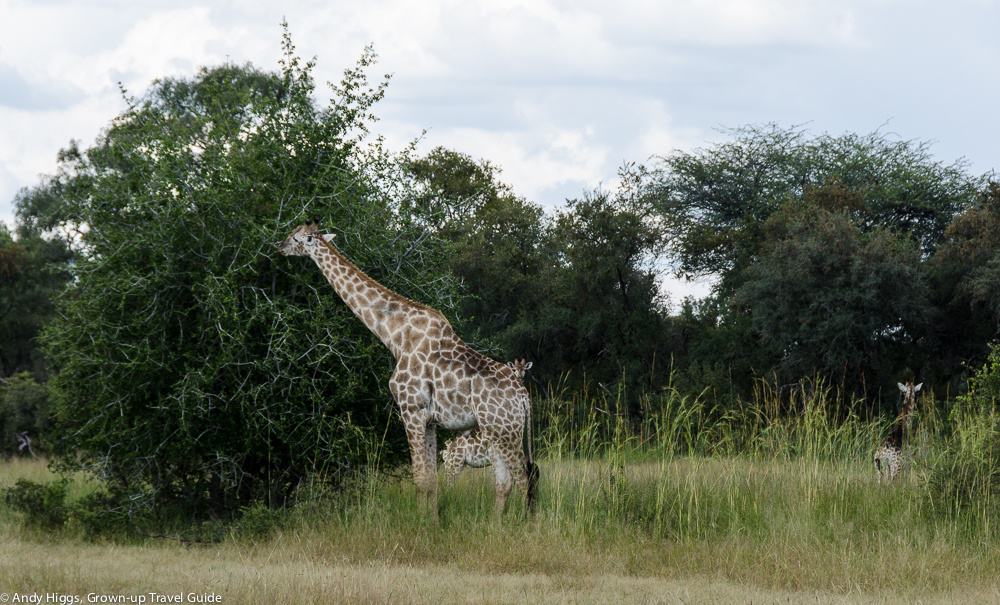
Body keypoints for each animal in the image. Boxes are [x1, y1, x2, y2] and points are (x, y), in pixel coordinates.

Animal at [278, 221, 538, 517]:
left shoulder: (410, 410)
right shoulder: (430, 420)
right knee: (505, 482)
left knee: (524, 477)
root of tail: (523, 396)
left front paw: (422, 524)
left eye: (295, 237)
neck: (396, 337)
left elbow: (420, 479)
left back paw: (526, 524)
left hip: (504, 429)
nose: (279, 246)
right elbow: (431, 480)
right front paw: (433, 521)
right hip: (499, 430)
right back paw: (497, 524)